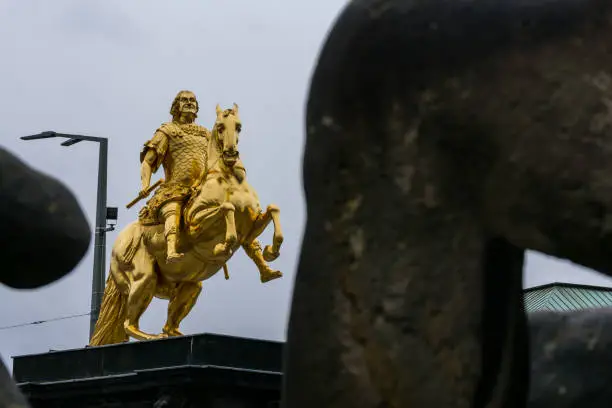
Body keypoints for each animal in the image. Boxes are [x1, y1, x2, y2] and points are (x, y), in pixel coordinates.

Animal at [89, 104, 284, 344]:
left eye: (239, 126)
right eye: (220, 126)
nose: (230, 153)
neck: (229, 180)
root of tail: (118, 244)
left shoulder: (250, 227)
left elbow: (272, 212)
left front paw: (271, 253)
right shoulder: (196, 226)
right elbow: (226, 208)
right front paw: (223, 246)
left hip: (190, 284)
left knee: (168, 323)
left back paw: (174, 333)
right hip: (144, 278)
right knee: (129, 323)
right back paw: (152, 336)